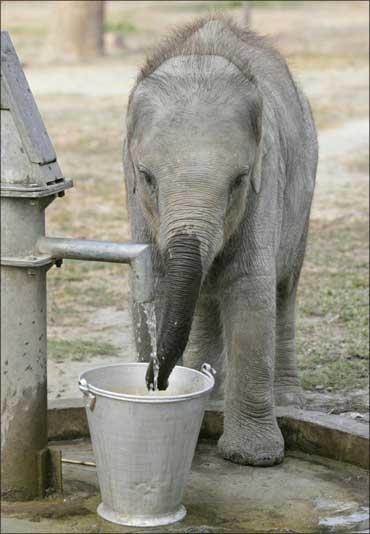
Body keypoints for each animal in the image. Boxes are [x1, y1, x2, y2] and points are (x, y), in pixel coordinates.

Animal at [124, 15, 318, 468]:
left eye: (239, 180)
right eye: (147, 177)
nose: (155, 381)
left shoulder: (267, 181)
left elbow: (249, 288)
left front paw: (253, 458)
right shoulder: (134, 198)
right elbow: (157, 284)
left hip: (304, 197)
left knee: (284, 289)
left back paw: (287, 400)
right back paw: (207, 393)